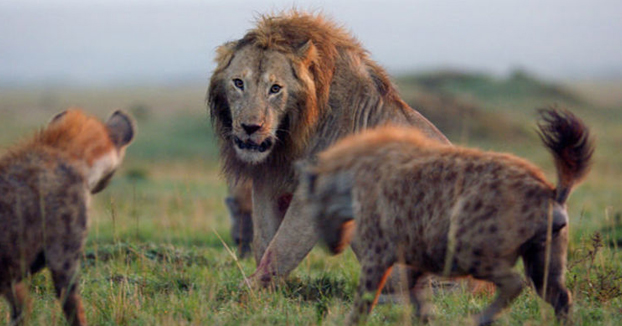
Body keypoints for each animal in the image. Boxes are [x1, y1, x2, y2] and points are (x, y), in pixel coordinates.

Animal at [208, 10, 448, 286]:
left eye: (275, 89)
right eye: (238, 83)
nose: (250, 127)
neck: (290, 136)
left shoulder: (319, 190)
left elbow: (282, 246)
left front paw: (247, 288)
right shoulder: (267, 181)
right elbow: (264, 240)